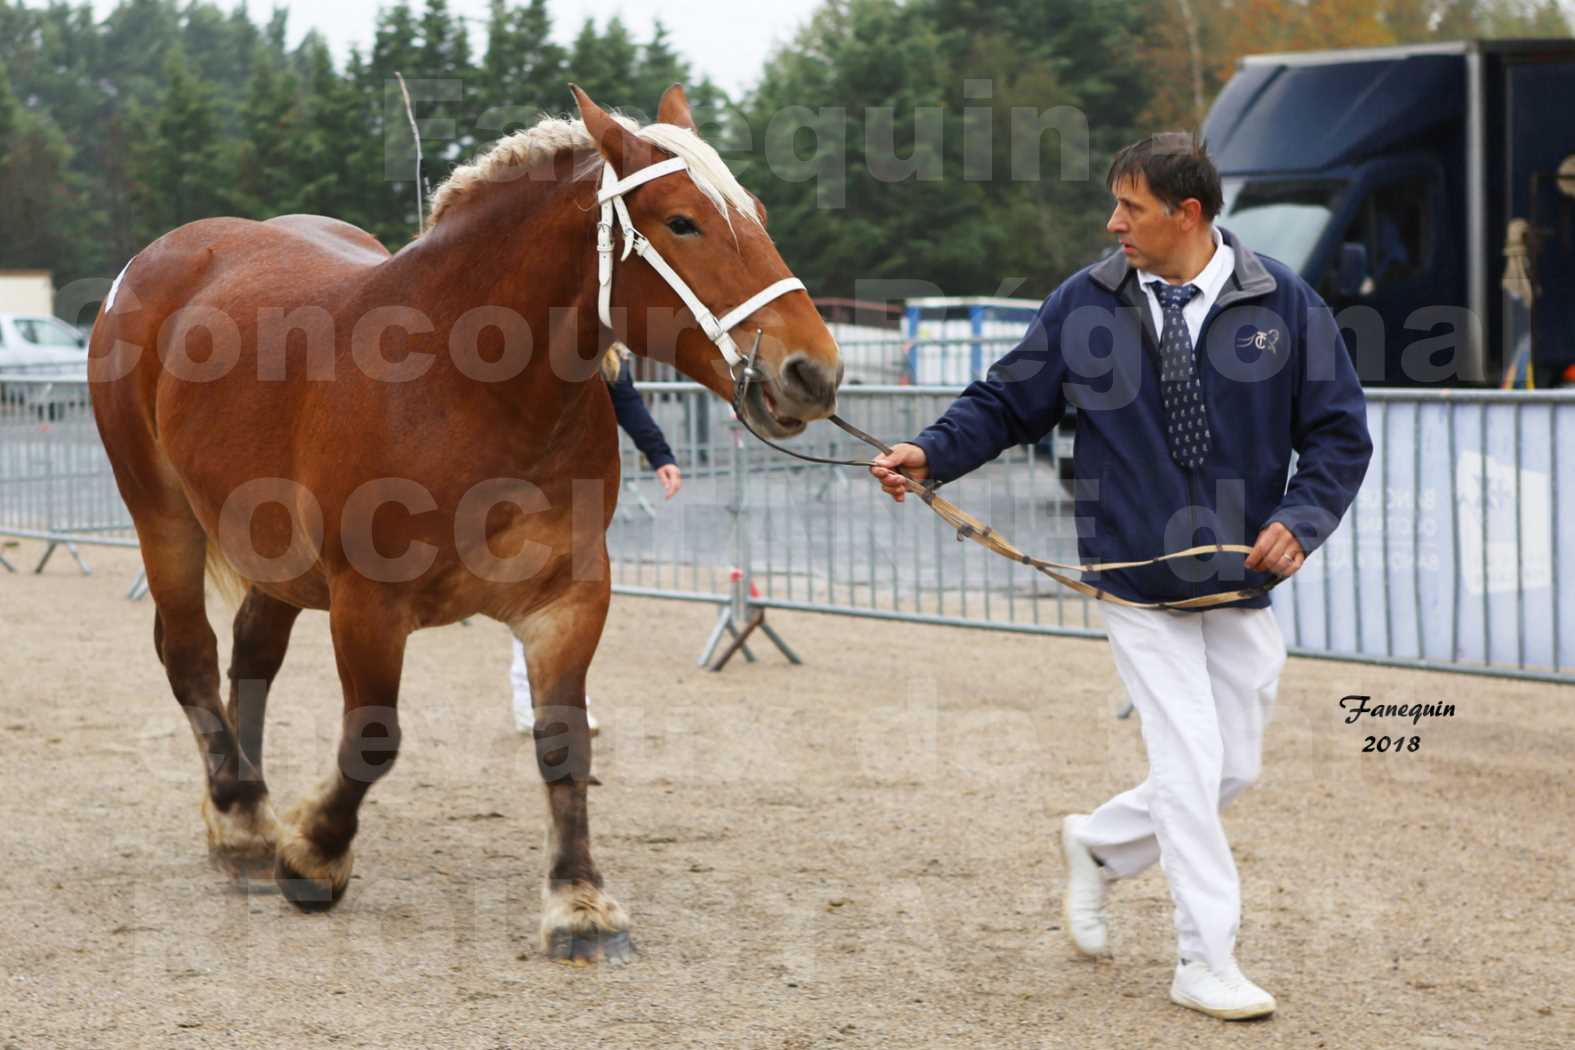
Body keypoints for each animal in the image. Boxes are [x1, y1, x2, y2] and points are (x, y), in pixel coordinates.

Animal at [86, 86, 844, 963]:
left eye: (756, 212)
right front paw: (313, 857)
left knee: (252, 655)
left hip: (275, 551)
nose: (813, 372)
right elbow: (373, 738)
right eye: (682, 221)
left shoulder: (568, 599)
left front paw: (578, 901)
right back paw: (241, 820)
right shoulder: (367, 605)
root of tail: (160, 259)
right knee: (190, 656)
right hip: (163, 515)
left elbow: (564, 741)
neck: (466, 386)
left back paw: (247, 804)